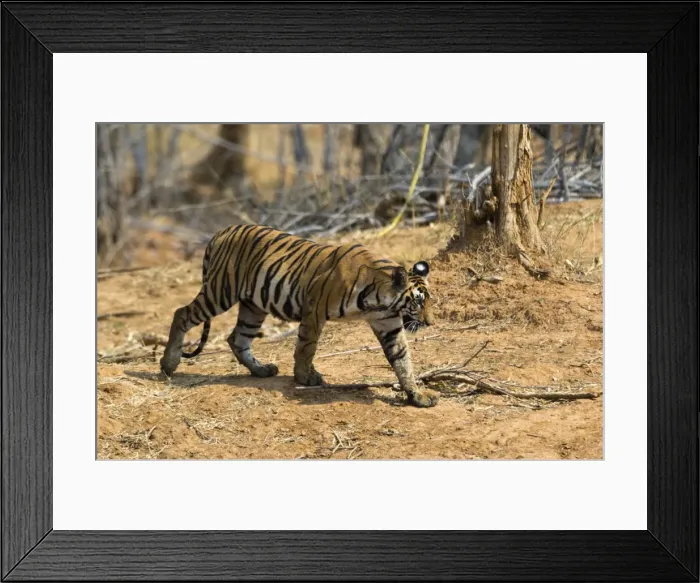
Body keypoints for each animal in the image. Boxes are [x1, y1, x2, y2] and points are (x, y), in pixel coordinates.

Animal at [159, 224, 439, 408]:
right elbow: (306, 347)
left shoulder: (388, 323)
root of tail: (221, 231)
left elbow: (402, 360)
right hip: (220, 292)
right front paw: (305, 377)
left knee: (237, 339)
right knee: (182, 313)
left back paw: (261, 370)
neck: (380, 301)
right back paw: (168, 363)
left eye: (429, 301)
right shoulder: (314, 309)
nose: (430, 323)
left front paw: (417, 395)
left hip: (253, 306)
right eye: (417, 302)